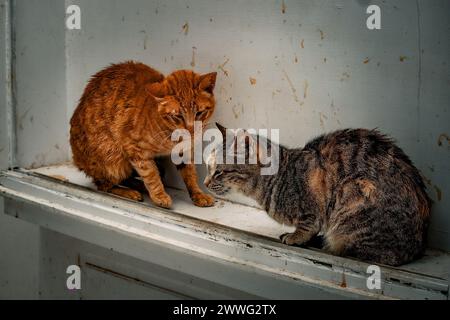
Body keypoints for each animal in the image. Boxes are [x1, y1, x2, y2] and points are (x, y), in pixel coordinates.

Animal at [69, 61, 217, 209]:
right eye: (178, 116)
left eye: (199, 113)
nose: (191, 130)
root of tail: (77, 161)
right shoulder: (136, 150)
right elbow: (151, 175)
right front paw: (159, 196)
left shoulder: (184, 151)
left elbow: (190, 174)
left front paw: (198, 194)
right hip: (112, 157)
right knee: (104, 185)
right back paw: (131, 192)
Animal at [204, 124, 428, 266]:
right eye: (208, 167)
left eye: (219, 172)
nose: (205, 183)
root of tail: (418, 246)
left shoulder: (313, 202)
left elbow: (308, 224)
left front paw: (296, 237)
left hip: (353, 193)